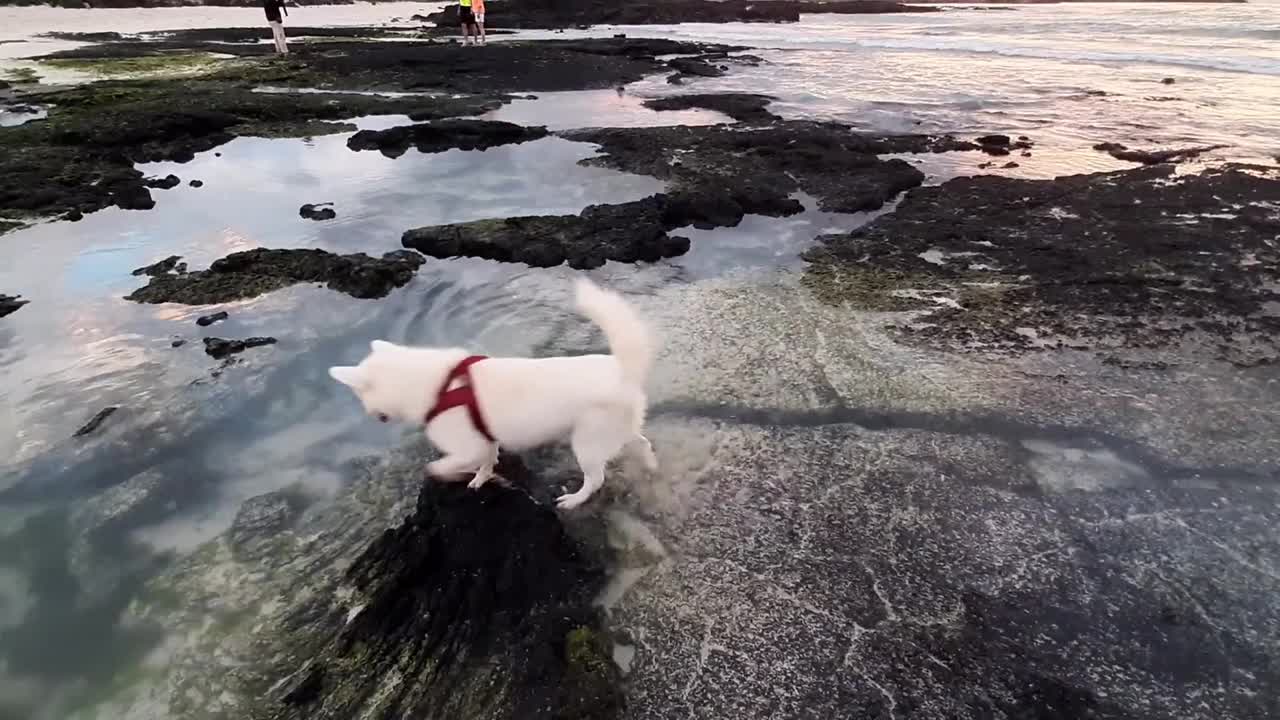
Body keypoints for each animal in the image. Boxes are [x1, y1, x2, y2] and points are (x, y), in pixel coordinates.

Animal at [330, 278, 655, 507]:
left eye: (362, 399)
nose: (374, 416)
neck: (438, 384)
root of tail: (624, 370)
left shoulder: (467, 447)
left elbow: (438, 466)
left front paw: (447, 473)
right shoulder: (485, 440)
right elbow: (487, 462)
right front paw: (481, 478)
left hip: (587, 443)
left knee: (596, 478)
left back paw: (575, 499)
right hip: (612, 431)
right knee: (641, 441)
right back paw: (650, 463)